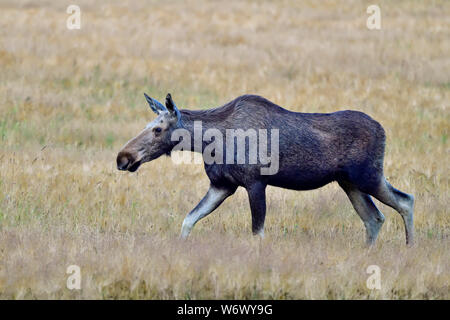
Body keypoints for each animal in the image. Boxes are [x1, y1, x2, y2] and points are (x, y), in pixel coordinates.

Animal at [117, 94, 414, 246]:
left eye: (157, 129)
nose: (123, 157)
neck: (207, 143)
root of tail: (382, 130)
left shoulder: (255, 182)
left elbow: (257, 232)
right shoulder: (222, 185)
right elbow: (188, 219)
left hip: (368, 176)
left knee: (405, 200)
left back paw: (410, 247)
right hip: (349, 183)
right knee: (374, 218)